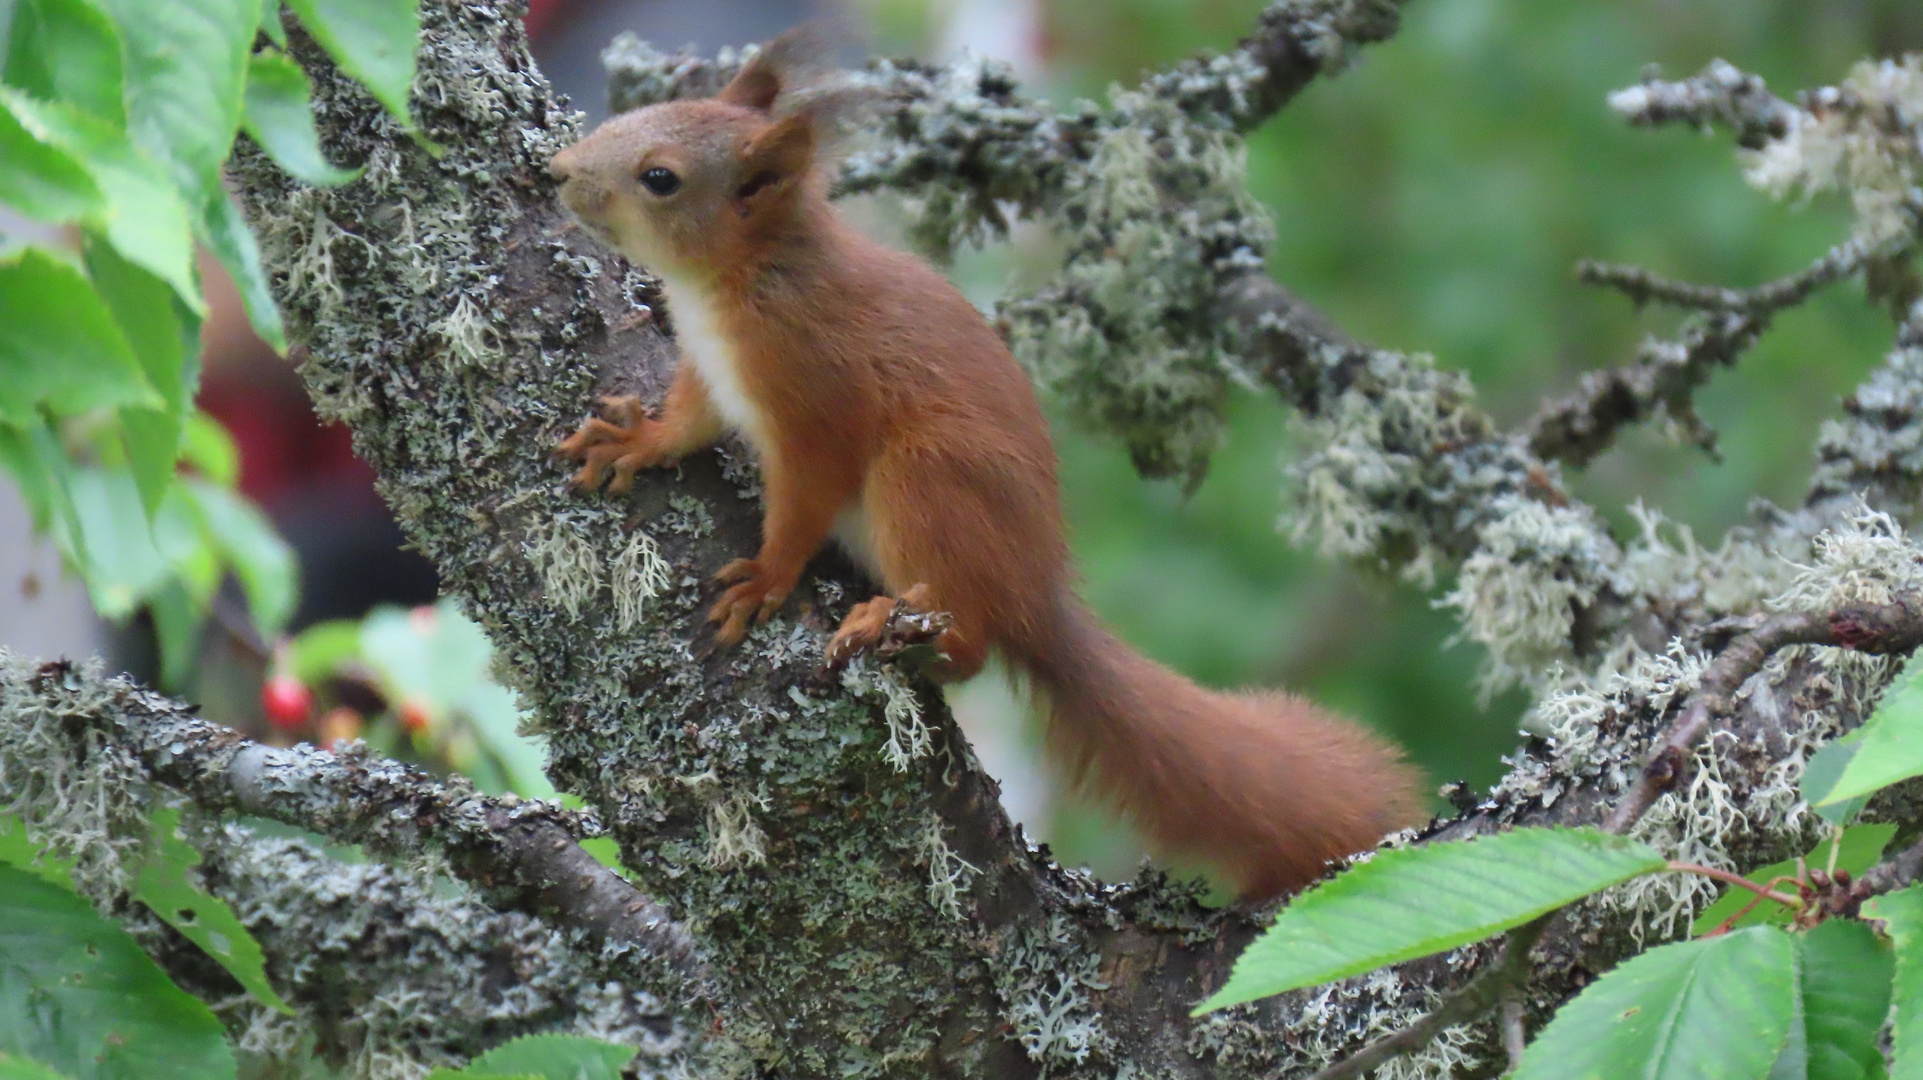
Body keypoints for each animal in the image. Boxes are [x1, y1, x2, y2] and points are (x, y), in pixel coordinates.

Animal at [549, 29, 1423, 895]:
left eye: (660, 177)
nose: (558, 171)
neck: (739, 279)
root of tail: (1033, 595)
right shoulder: (709, 369)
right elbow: (688, 422)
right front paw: (634, 442)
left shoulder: (815, 396)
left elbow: (803, 498)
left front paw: (765, 578)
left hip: (927, 479)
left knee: (969, 646)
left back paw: (899, 630)